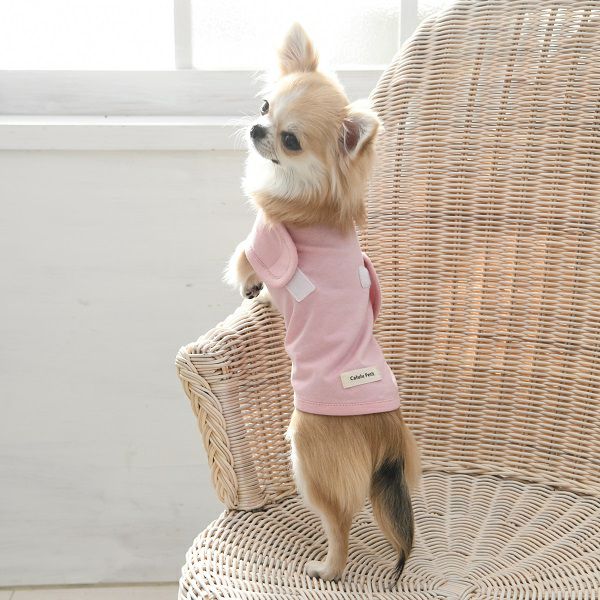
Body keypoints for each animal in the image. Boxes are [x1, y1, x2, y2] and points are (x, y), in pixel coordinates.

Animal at [226, 23, 420, 582]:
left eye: (290, 141)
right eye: (265, 106)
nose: (257, 129)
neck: (314, 197)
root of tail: (385, 435)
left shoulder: (261, 240)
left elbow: (241, 260)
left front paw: (249, 284)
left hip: (307, 457)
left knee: (342, 523)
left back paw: (327, 569)